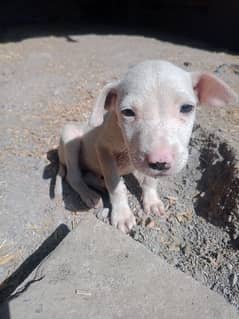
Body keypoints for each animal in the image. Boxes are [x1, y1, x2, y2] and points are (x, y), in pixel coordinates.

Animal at [57, 61, 237, 234]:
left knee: (88, 176)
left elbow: (149, 180)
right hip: (70, 138)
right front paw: (122, 215)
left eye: (187, 108)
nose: (160, 162)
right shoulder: (102, 148)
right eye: (127, 112)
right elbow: (115, 185)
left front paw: (152, 201)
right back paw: (89, 194)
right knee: (74, 176)